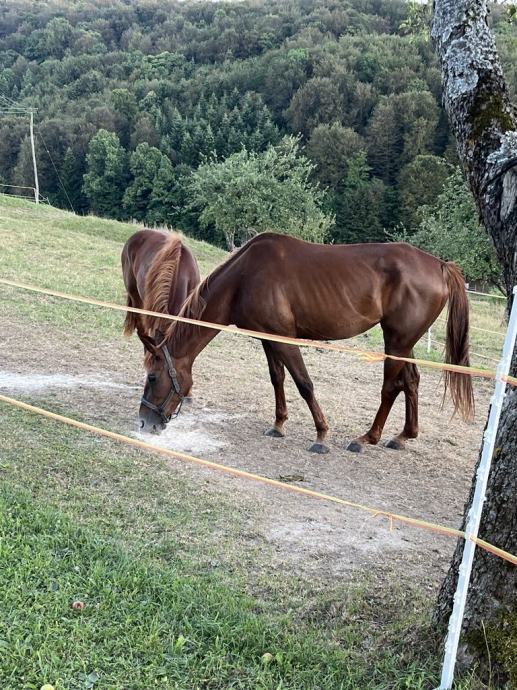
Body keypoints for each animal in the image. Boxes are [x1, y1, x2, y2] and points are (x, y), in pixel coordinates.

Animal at [136, 232, 472, 452]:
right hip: (405, 343)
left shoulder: (284, 339)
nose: (145, 422)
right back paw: (403, 436)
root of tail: (440, 265)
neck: (244, 277)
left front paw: (321, 435)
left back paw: (367, 438)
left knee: (391, 386)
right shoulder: (267, 339)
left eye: (152, 377)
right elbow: (278, 378)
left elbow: (304, 383)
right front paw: (279, 424)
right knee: (411, 381)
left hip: (397, 342)